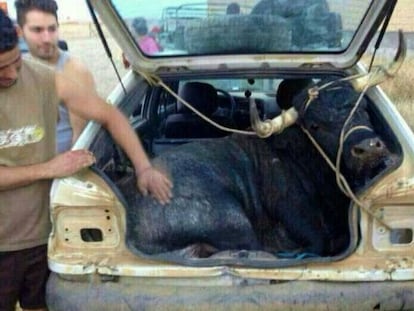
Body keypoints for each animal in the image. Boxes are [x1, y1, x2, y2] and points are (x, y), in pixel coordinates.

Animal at [115, 33, 404, 260]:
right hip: (236, 223)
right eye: (315, 125)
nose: (368, 148)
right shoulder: (296, 214)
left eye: (362, 106)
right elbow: (318, 242)